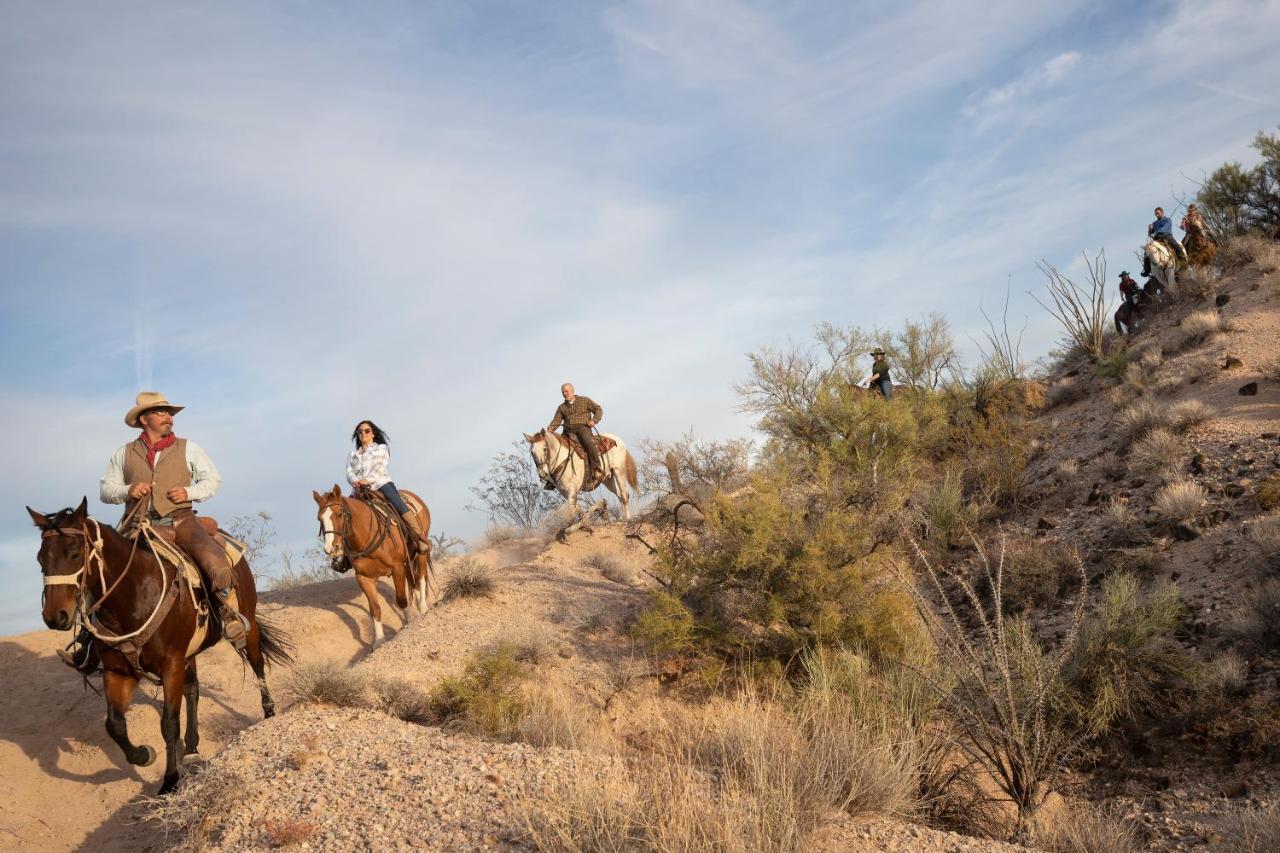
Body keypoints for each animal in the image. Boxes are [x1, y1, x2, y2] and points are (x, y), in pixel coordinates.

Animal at [27, 494, 293, 794]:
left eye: (74, 552)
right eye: (40, 558)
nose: (55, 616)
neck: (134, 597)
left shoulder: (171, 666)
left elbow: (168, 724)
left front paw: (170, 781)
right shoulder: (119, 671)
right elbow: (114, 724)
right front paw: (143, 755)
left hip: (247, 624)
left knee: (257, 663)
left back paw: (269, 712)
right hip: (189, 654)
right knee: (193, 690)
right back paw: (192, 747)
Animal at [312, 484, 432, 645]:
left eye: (339, 514)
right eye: (319, 519)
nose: (332, 549)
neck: (366, 537)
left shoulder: (397, 568)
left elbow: (401, 599)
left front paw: (409, 623)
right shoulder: (363, 577)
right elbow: (374, 608)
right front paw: (379, 640)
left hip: (420, 553)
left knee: (421, 577)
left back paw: (423, 608)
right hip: (407, 561)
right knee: (414, 584)